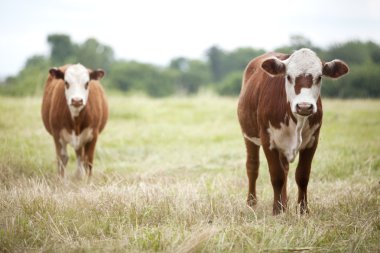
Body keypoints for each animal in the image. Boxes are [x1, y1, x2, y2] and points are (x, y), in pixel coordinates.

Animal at [239, 48, 348, 214]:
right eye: (289, 76)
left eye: (319, 77)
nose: (304, 106)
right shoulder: (267, 140)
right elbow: (276, 175)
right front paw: (277, 210)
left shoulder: (313, 141)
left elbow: (302, 175)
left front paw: (303, 210)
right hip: (249, 136)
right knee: (253, 167)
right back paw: (252, 203)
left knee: (285, 168)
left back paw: (284, 202)